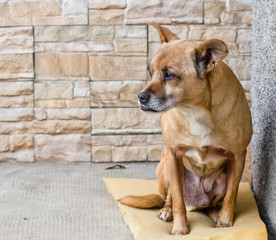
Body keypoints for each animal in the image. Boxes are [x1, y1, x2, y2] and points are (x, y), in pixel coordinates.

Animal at [118, 23, 252, 235]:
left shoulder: (238, 157)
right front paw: (179, 229)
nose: (140, 97)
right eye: (150, 72)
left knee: (210, 204)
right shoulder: (173, 155)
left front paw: (225, 222)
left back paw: (214, 213)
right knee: (169, 199)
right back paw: (167, 211)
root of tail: (196, 202)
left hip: (222, 179)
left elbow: (231, 195)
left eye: (169, 75)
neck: (195, 110)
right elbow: (178, 200)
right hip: (165, 167)